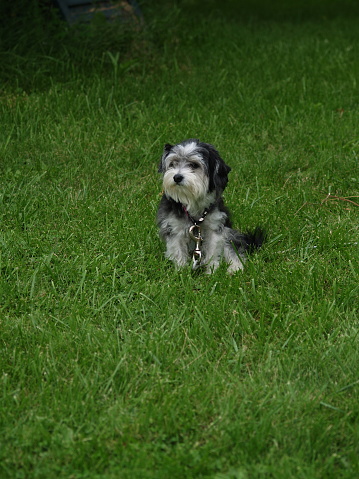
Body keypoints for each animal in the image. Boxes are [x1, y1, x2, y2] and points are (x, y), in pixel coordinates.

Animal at [157, 139, 264, 274]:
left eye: (194, 165)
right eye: (173, 163)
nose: (177, 177)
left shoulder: (215, 227)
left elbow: (213, 252)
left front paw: (212, 272)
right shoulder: (174, 228)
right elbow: (178, 251)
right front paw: (181, 271)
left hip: (228, 232)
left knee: (232, 249)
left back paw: (235, 268)